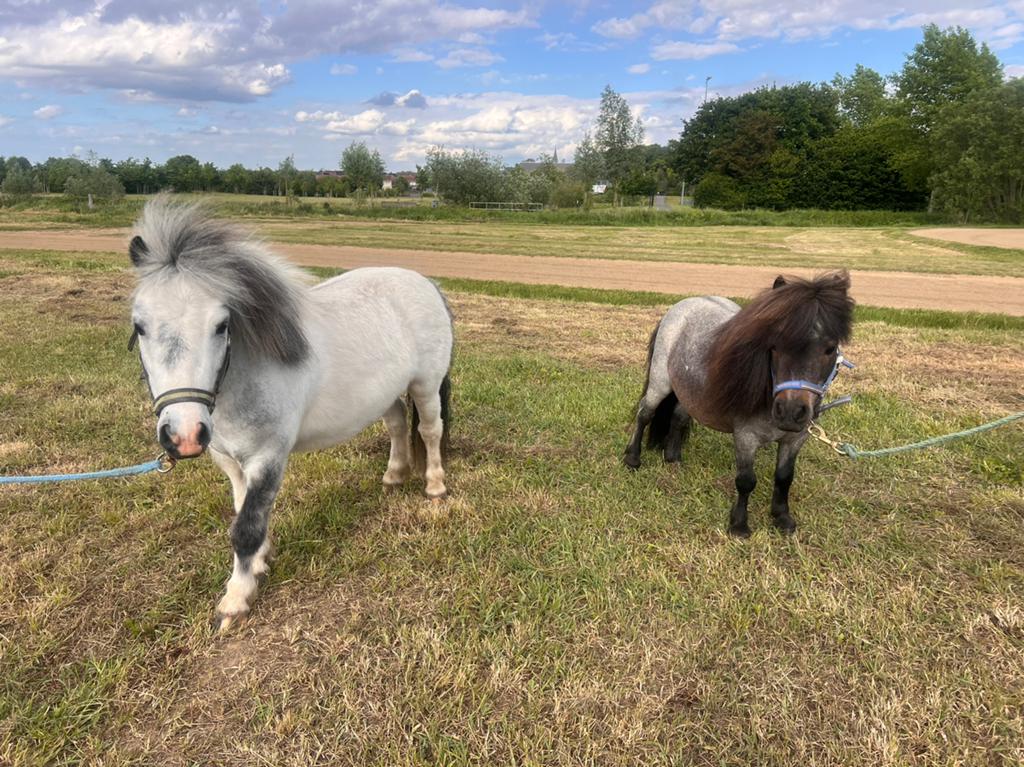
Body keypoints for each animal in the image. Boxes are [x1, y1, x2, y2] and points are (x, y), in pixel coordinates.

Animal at [127, 196, 453, 629]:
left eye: (221, 325)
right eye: (140, 326)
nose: (184, 435)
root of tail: (426, 282)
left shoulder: (268, 457)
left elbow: (246, 526)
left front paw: (236, 599)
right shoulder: (228, 460)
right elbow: (243, 510)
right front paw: (260, 563)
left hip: (427, 385)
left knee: (430, 431)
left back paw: (434, 486)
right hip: (385, 394)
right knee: (399, 423)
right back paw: (394, 475)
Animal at [623, 272, 854, 536]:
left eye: (830, 348)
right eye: (775, 345)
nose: (790, 412)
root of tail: (683, 304)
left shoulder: (796, 438)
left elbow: (784, 476)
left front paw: (782, 518)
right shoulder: (745, 437)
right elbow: (746, 481)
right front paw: (739, 525)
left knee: (679, 417)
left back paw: (673, 458)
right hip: (660, 383)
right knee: (645, 414)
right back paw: (632, 459)